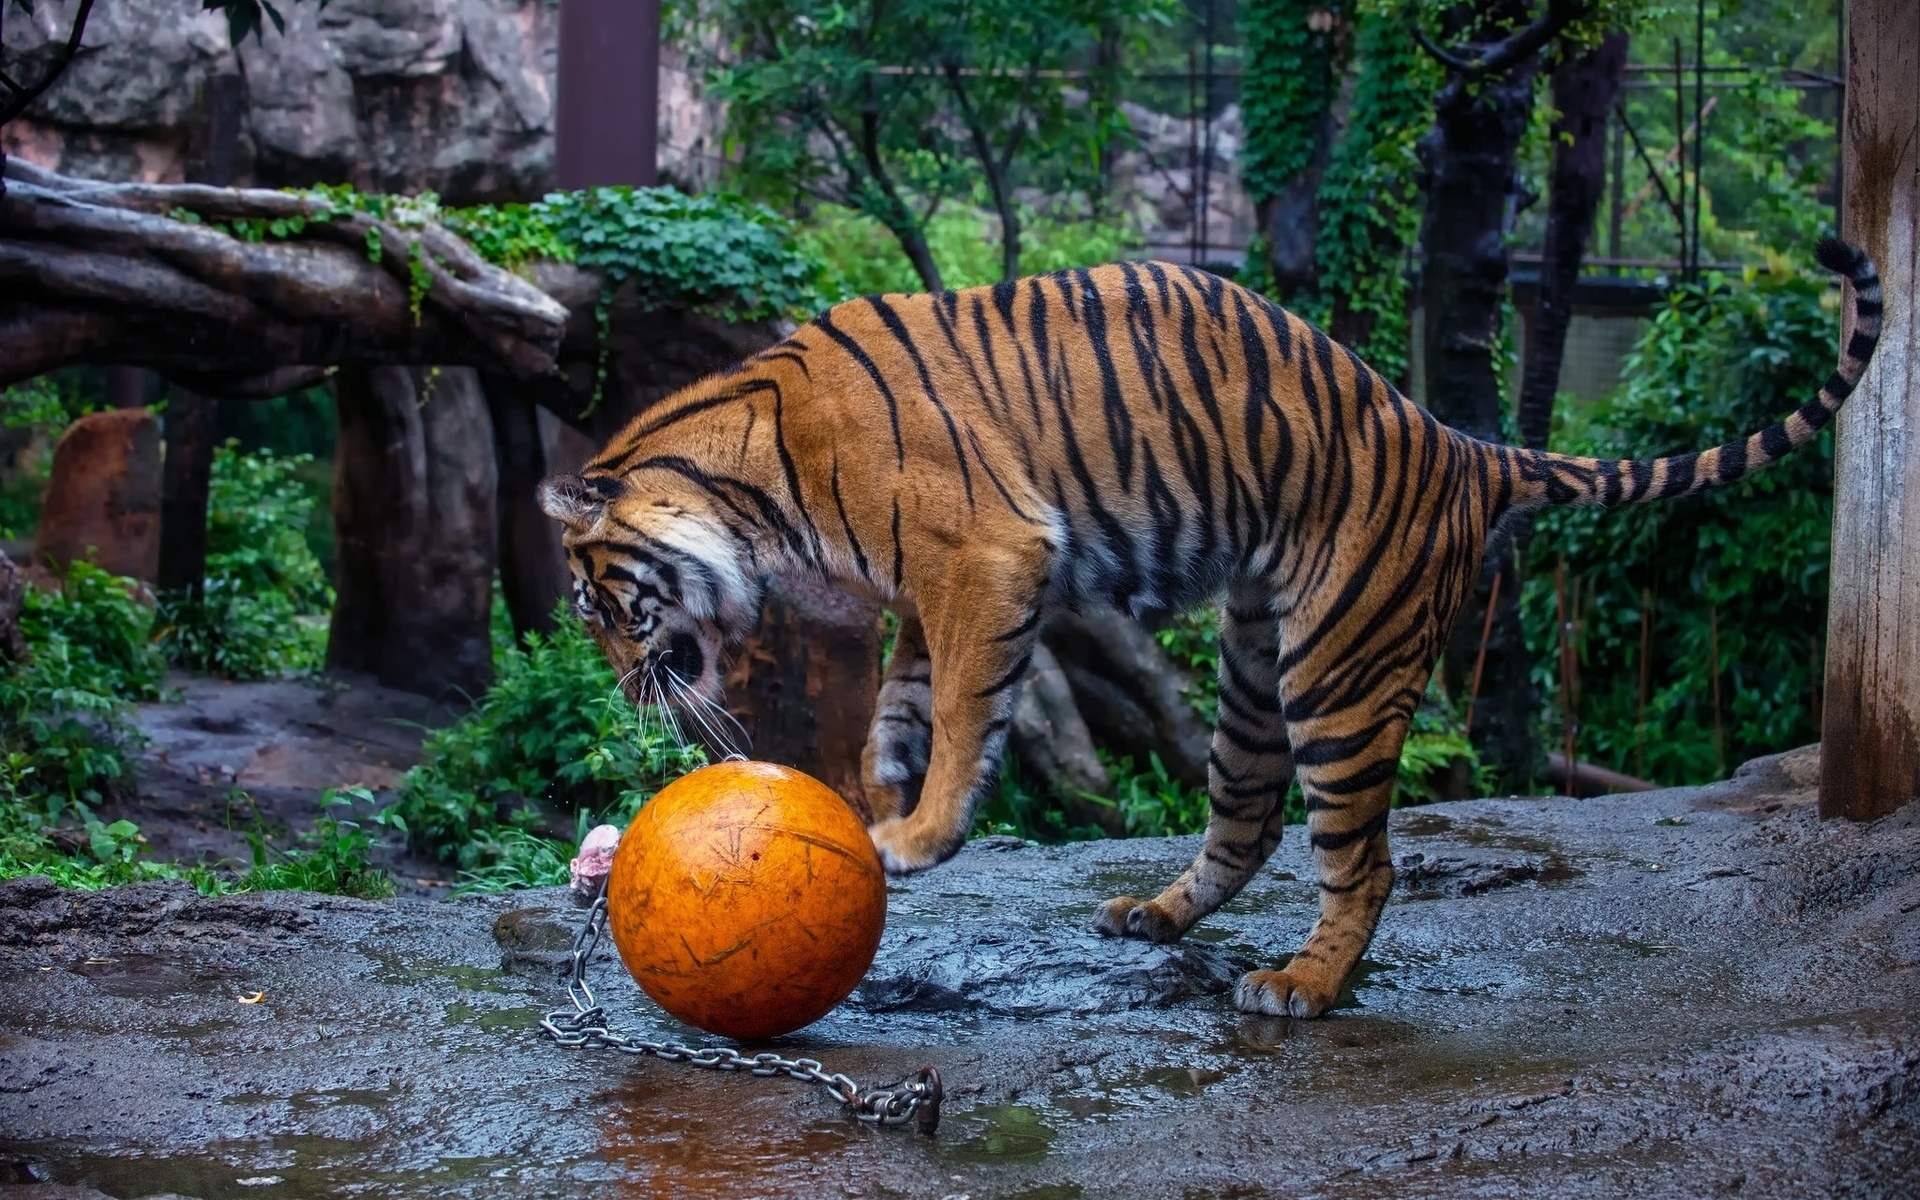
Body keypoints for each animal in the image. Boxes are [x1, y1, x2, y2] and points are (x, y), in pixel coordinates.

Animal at [545, 236, 1889, 1021]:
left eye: (599, 606)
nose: (623, 689)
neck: (751, 481)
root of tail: (1460, 443)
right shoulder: (938, 586)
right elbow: (907, 697)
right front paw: (879, 790)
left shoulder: (985, 554)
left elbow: (970, 707)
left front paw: (917, 835)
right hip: (1254, 664)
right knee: (1246, 819)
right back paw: (1155, 917)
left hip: (1339, 671)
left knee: (1365, 859)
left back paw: (1299, 985)